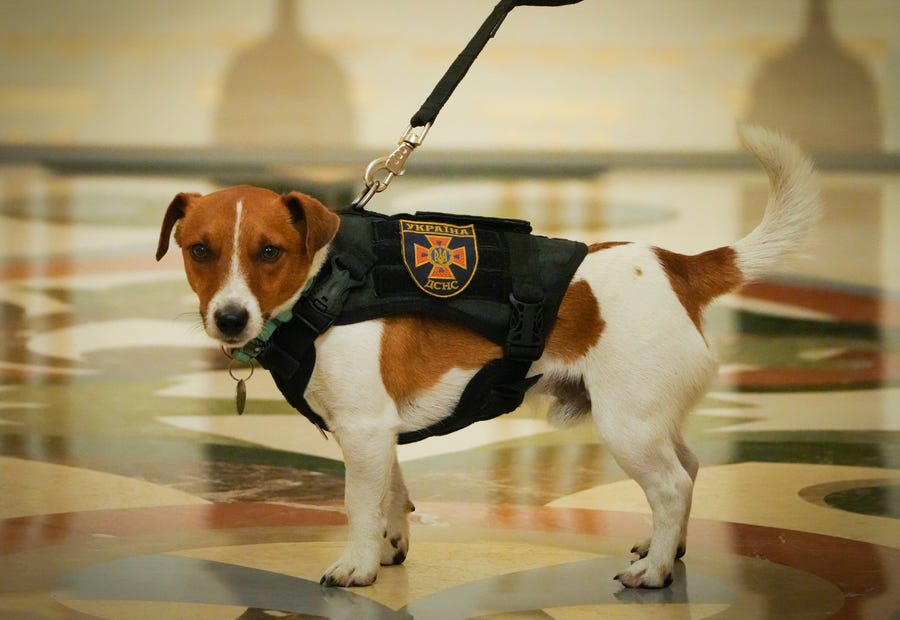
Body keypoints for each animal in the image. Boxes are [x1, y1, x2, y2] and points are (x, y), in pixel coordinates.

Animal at [156, 123, 824, 588]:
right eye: (199, 250)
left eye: (269, 252)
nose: (230, 318)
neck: (324, 285)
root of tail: (677, 265)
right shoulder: (380, 433)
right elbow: (392, 493)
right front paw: (390, 546)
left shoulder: (364, 430)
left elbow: (357, 503)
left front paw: (357, 566)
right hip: (652, 416)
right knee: (688, 467)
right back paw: (667, 547)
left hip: (627, 426)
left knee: (671, 486)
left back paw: (654, 571)